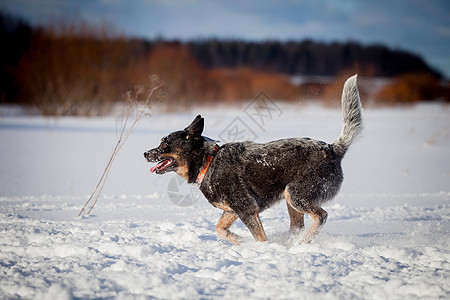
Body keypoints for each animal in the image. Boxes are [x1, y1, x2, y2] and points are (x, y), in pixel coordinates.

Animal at [146, 74, 364, 244]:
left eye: (164, 144)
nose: (145, 153)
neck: (208, 162)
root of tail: (332, 148)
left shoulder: (247, 209)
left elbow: (259, 237)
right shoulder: (233, 210)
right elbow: (220, 229)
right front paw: (239, 241)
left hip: (296, 195)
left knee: (321, 216)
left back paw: (303, 242)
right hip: (291, 199)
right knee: (297, 225)